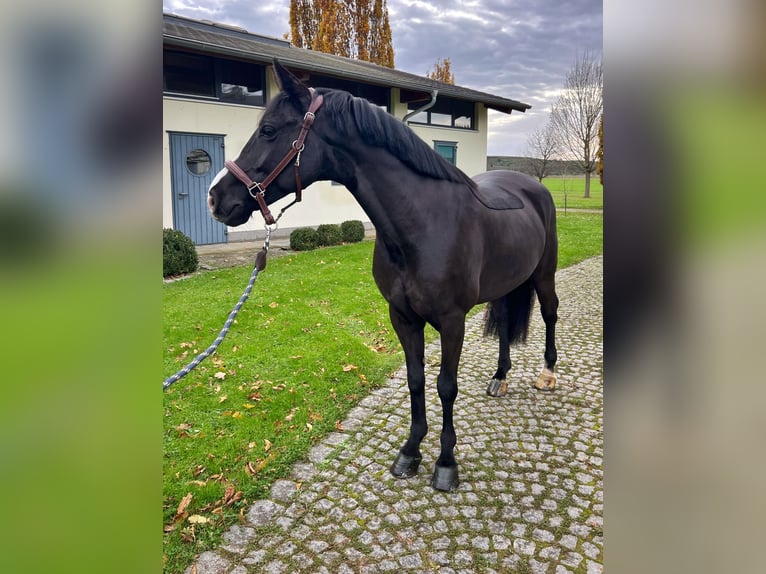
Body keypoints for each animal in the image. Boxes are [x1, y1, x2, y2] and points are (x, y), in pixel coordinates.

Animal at [207, 59, 560, 496]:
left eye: (269, 130)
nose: (216, 199)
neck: (422, 223)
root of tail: (532, 187)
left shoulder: (452, 321)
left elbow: (446, 386)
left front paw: (446, 464)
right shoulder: (402, 316)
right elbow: (415, 380)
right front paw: (410, 451)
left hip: (544, 275)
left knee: (549, 314)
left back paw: (547, 375)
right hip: (507, 283)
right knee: (508, 320)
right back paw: (500, 378)